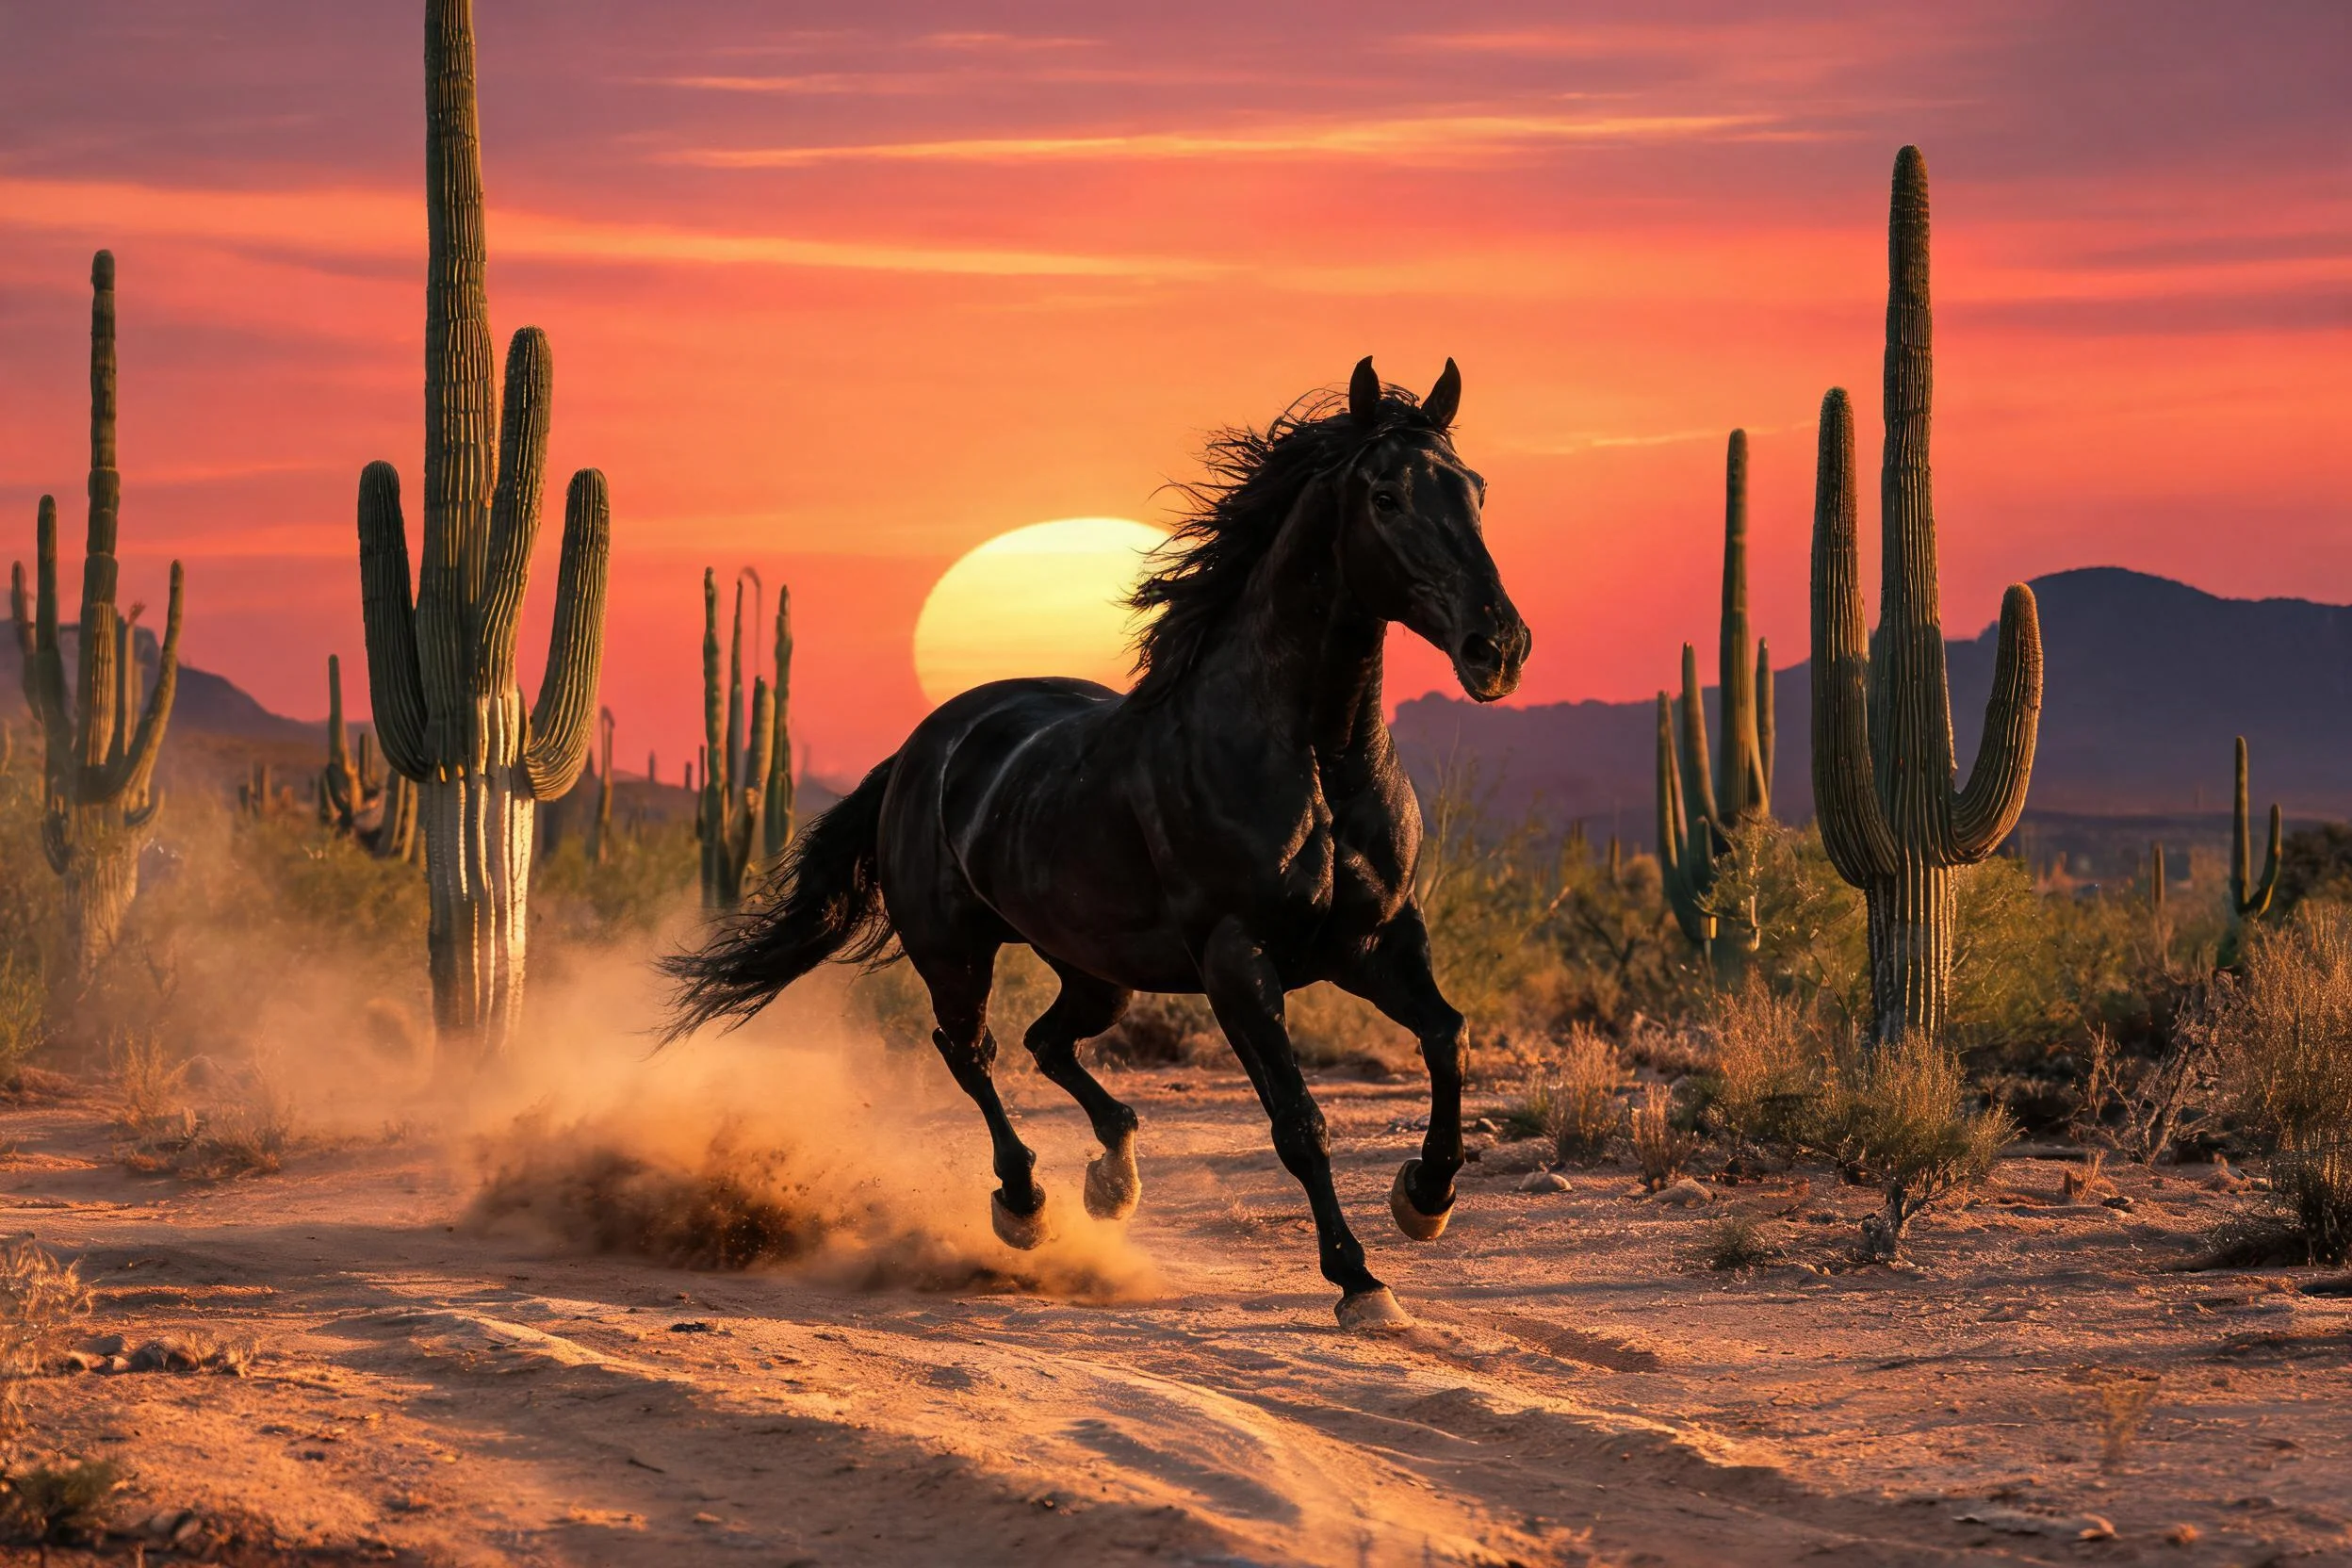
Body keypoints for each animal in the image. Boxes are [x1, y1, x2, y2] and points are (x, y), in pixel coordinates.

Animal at [662, 357, 1530, 1327]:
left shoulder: (1377, 939)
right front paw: (1361, 1282)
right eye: (1385, 496)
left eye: (1476, 489)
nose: (1498, 648)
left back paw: (1113, 1177)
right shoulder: (1238, 961)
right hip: (954, 952)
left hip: (1095, 970)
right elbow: (1300, 1122)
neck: (1311, 757)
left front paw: (1425, 1198)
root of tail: (923, 747)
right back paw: (1026, 1206)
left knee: (1047, 1042)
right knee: (972, 1053)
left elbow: (1448, 1037)